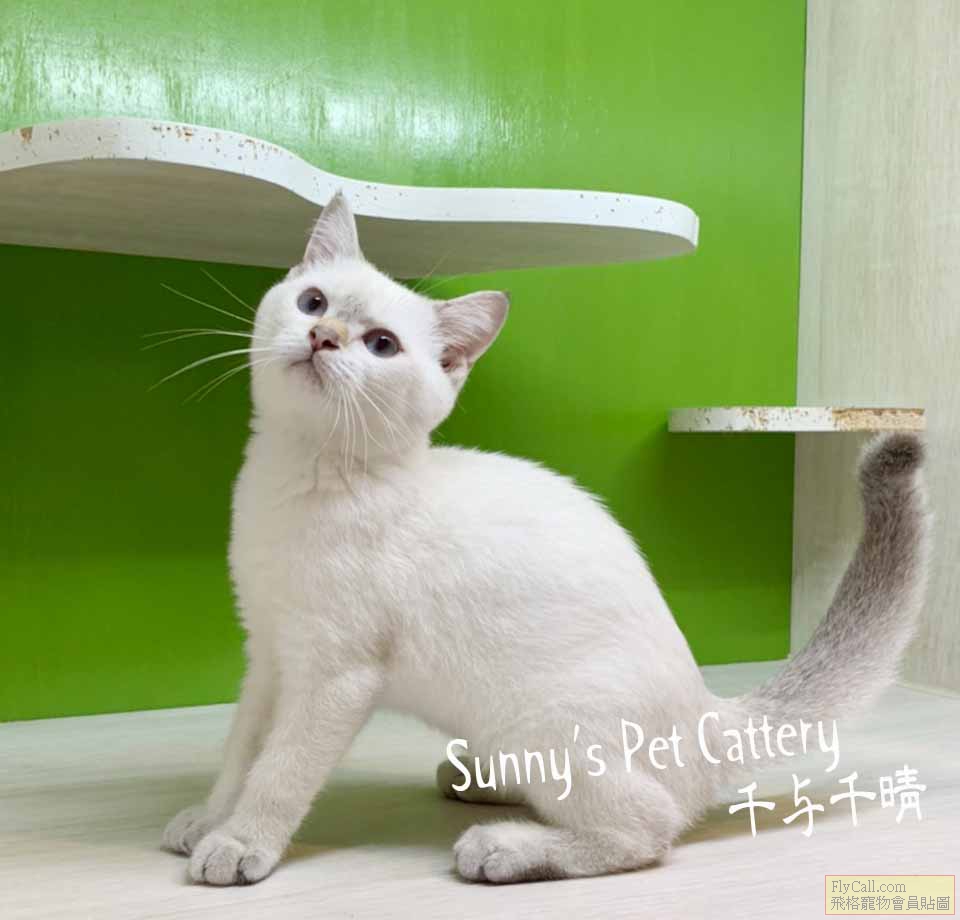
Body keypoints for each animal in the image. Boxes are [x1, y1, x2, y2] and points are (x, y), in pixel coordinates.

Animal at [163, 192, 930, 886]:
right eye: (313, 301)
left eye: (381, 345)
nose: (324, 337)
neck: (296, 480)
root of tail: (707, 714)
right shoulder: (269, 653)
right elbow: (242, 752)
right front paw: (210, 819)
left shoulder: (332, 672)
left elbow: (281, 770)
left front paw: (241, 844)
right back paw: (477, 782)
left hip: (539, 716)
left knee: (652, 824)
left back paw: (505, 848)